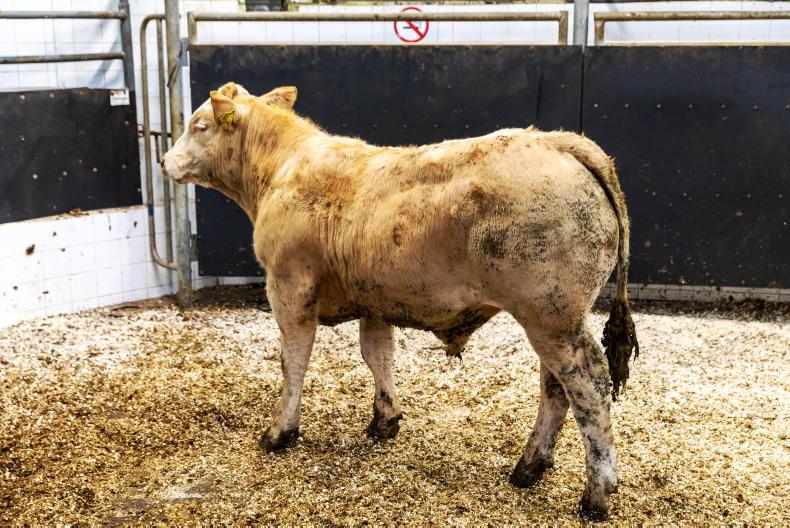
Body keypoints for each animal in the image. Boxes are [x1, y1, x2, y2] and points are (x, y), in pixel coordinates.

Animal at [161, 82, 639, 519]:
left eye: (199, 125)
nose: (164, 161)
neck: (281, 169)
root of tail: (558, 139)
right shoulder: (375, 300)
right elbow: (377, 354)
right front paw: (384, 420)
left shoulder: (288, 288)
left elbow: (292, 363)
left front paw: (281, 431)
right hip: (554, 316)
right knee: (555, 385)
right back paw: (529, 468)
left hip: (551, 316)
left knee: (587, 384)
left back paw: (596, 493)